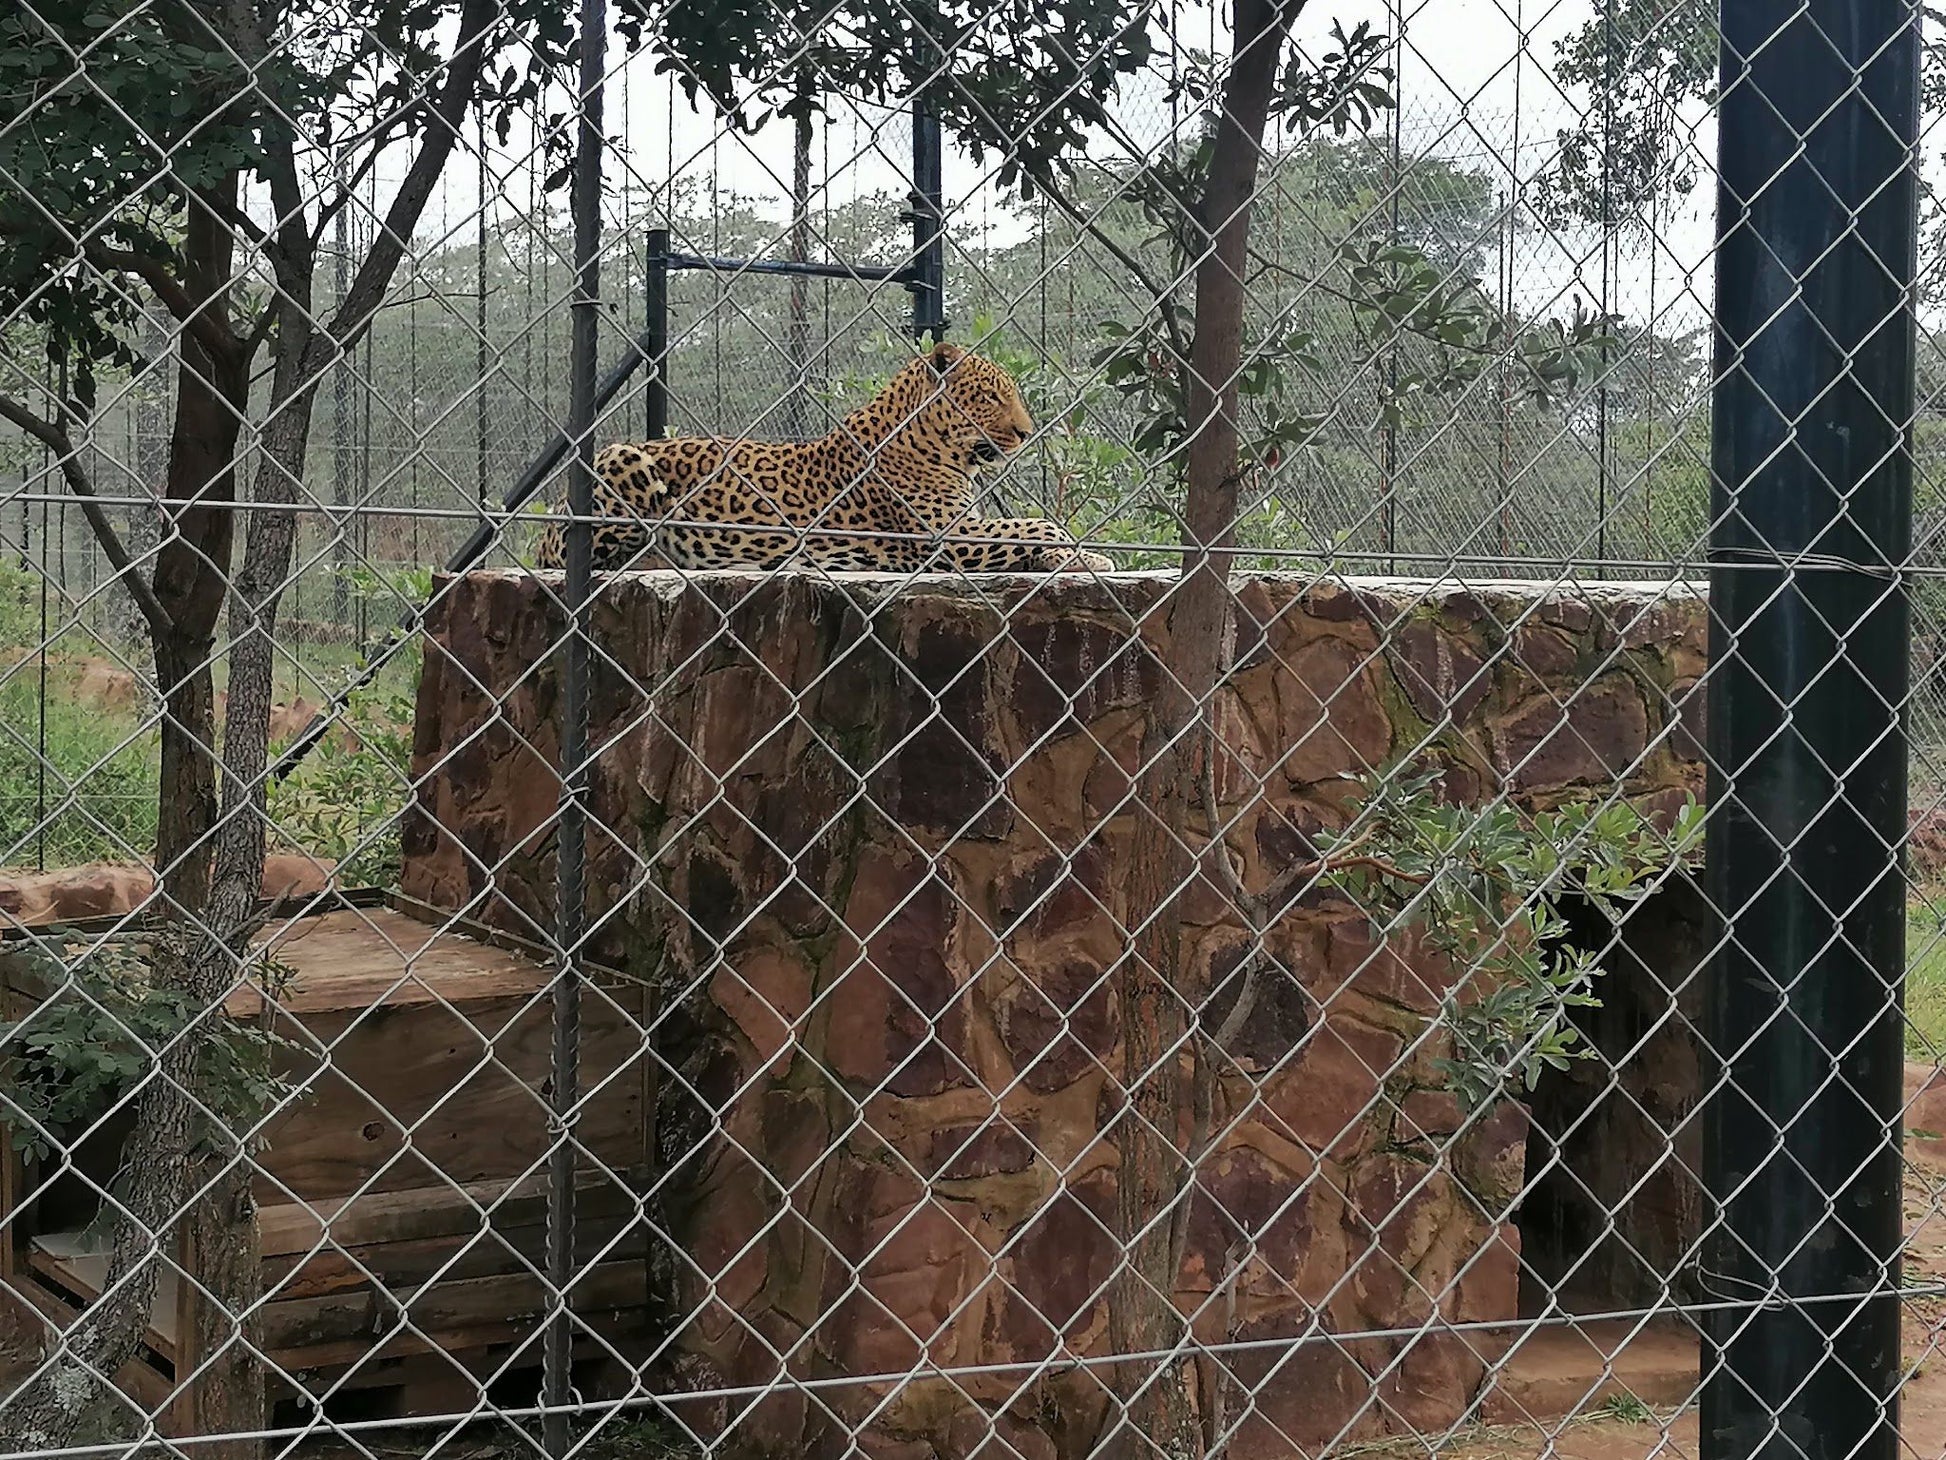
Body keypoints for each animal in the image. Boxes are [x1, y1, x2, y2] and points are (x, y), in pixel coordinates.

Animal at [529, 340, 1113, 576]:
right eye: (990, 396)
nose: (1026, 432)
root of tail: (550, 518)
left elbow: (1034, 527)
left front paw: (1081, 557)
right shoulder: (945, 538)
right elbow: (1037, 526)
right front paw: (1089, 558)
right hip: (622, 461)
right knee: (604, 560)